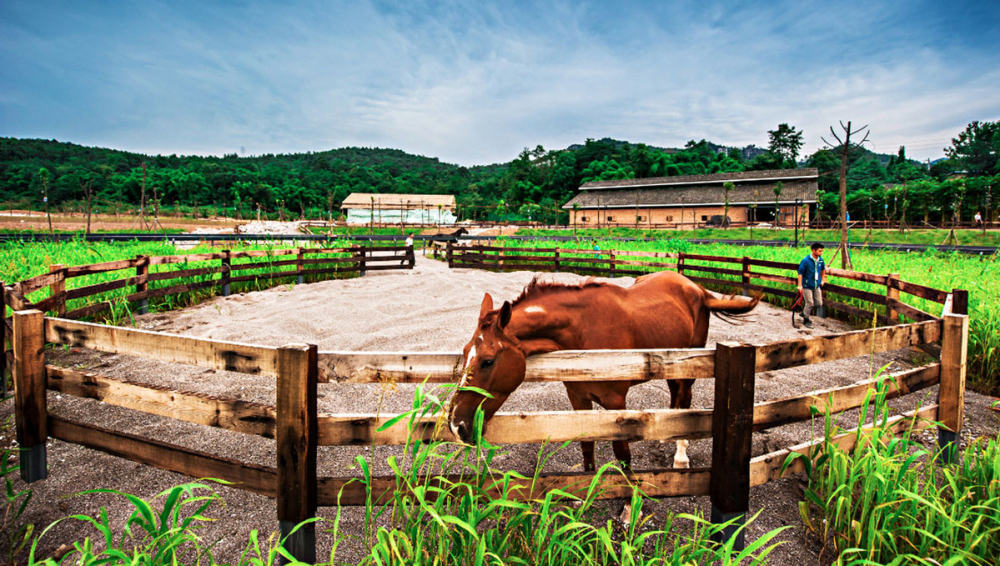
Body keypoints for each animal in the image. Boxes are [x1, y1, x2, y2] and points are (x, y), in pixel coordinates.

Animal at [450, 270, 760, 470]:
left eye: (488, 361)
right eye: (465, 353)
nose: (456, 425)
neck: (583, 336)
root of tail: (695, 288)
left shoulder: (615, 403)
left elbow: (622, 453)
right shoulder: (578, 398)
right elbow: (587, 445)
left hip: (689, 362)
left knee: (685, 399)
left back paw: (681, 455)